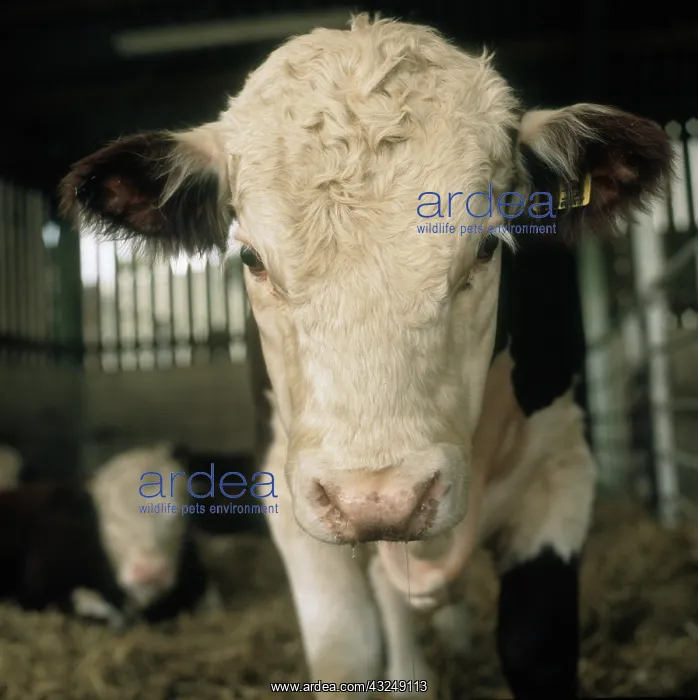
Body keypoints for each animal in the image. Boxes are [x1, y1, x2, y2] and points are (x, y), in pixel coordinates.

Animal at [58, 14, 673, 698]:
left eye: (488, 246)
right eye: (251, 257)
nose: (378, 499)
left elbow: (534, 645)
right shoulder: (291, 497)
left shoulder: (561, 470)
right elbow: (346, 652)